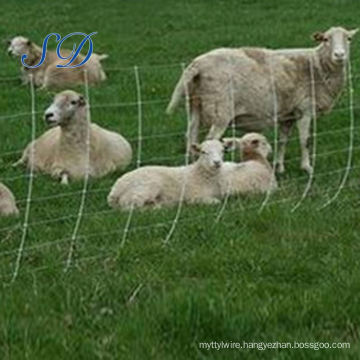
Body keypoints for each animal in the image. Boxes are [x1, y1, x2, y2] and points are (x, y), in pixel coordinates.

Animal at [167, 26, 358, 174]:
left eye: (348, 39)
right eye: (326, 39)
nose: (339, 55)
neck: (316, 66)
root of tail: (197, 64)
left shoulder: (288, 114)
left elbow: (282, 140)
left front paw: (279, 167)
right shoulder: (305, 109)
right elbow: (306, 140)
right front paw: (307, 168)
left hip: (195, 105)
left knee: (191, 136)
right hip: (220, 110)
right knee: (210, 139)